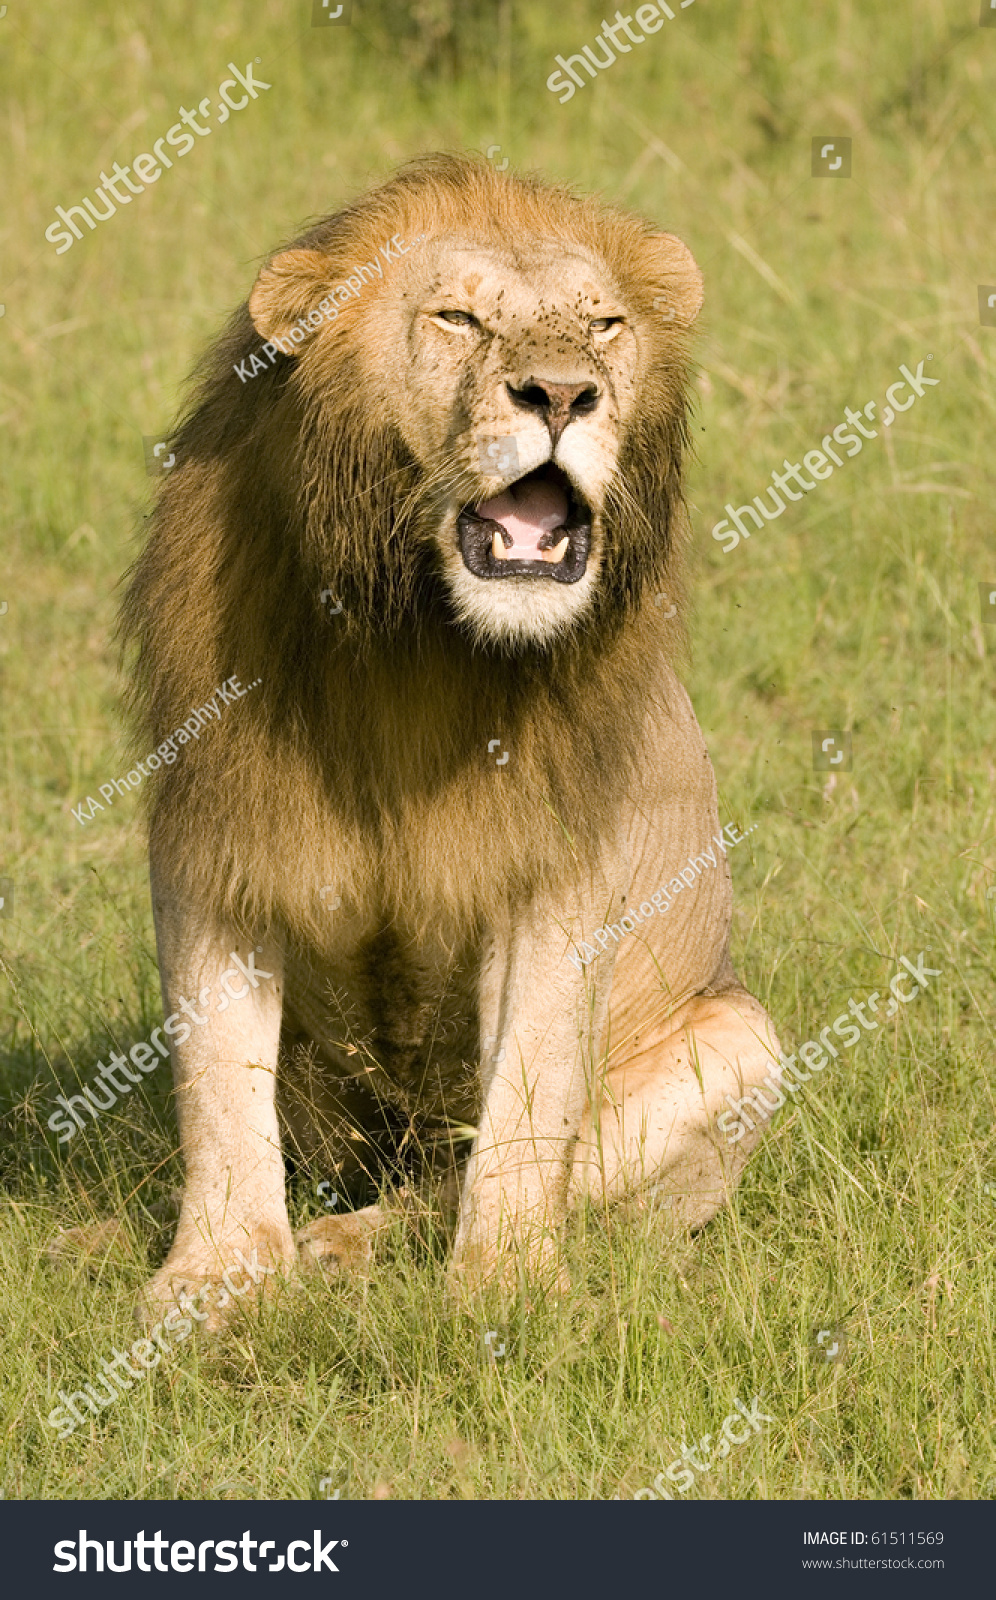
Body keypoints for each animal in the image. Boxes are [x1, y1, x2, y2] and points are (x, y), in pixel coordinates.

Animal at [120, 156, 784, 1318]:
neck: (421, 640)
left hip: (745, 1043)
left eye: (605, 324)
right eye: (459, 317)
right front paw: (215, 1281)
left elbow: (527, 1095)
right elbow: (218, 1089)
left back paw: (345, 1244)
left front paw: (506, 1286)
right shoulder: (219, 828)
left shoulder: (554, 868)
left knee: (464, 1174)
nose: (563, 395)